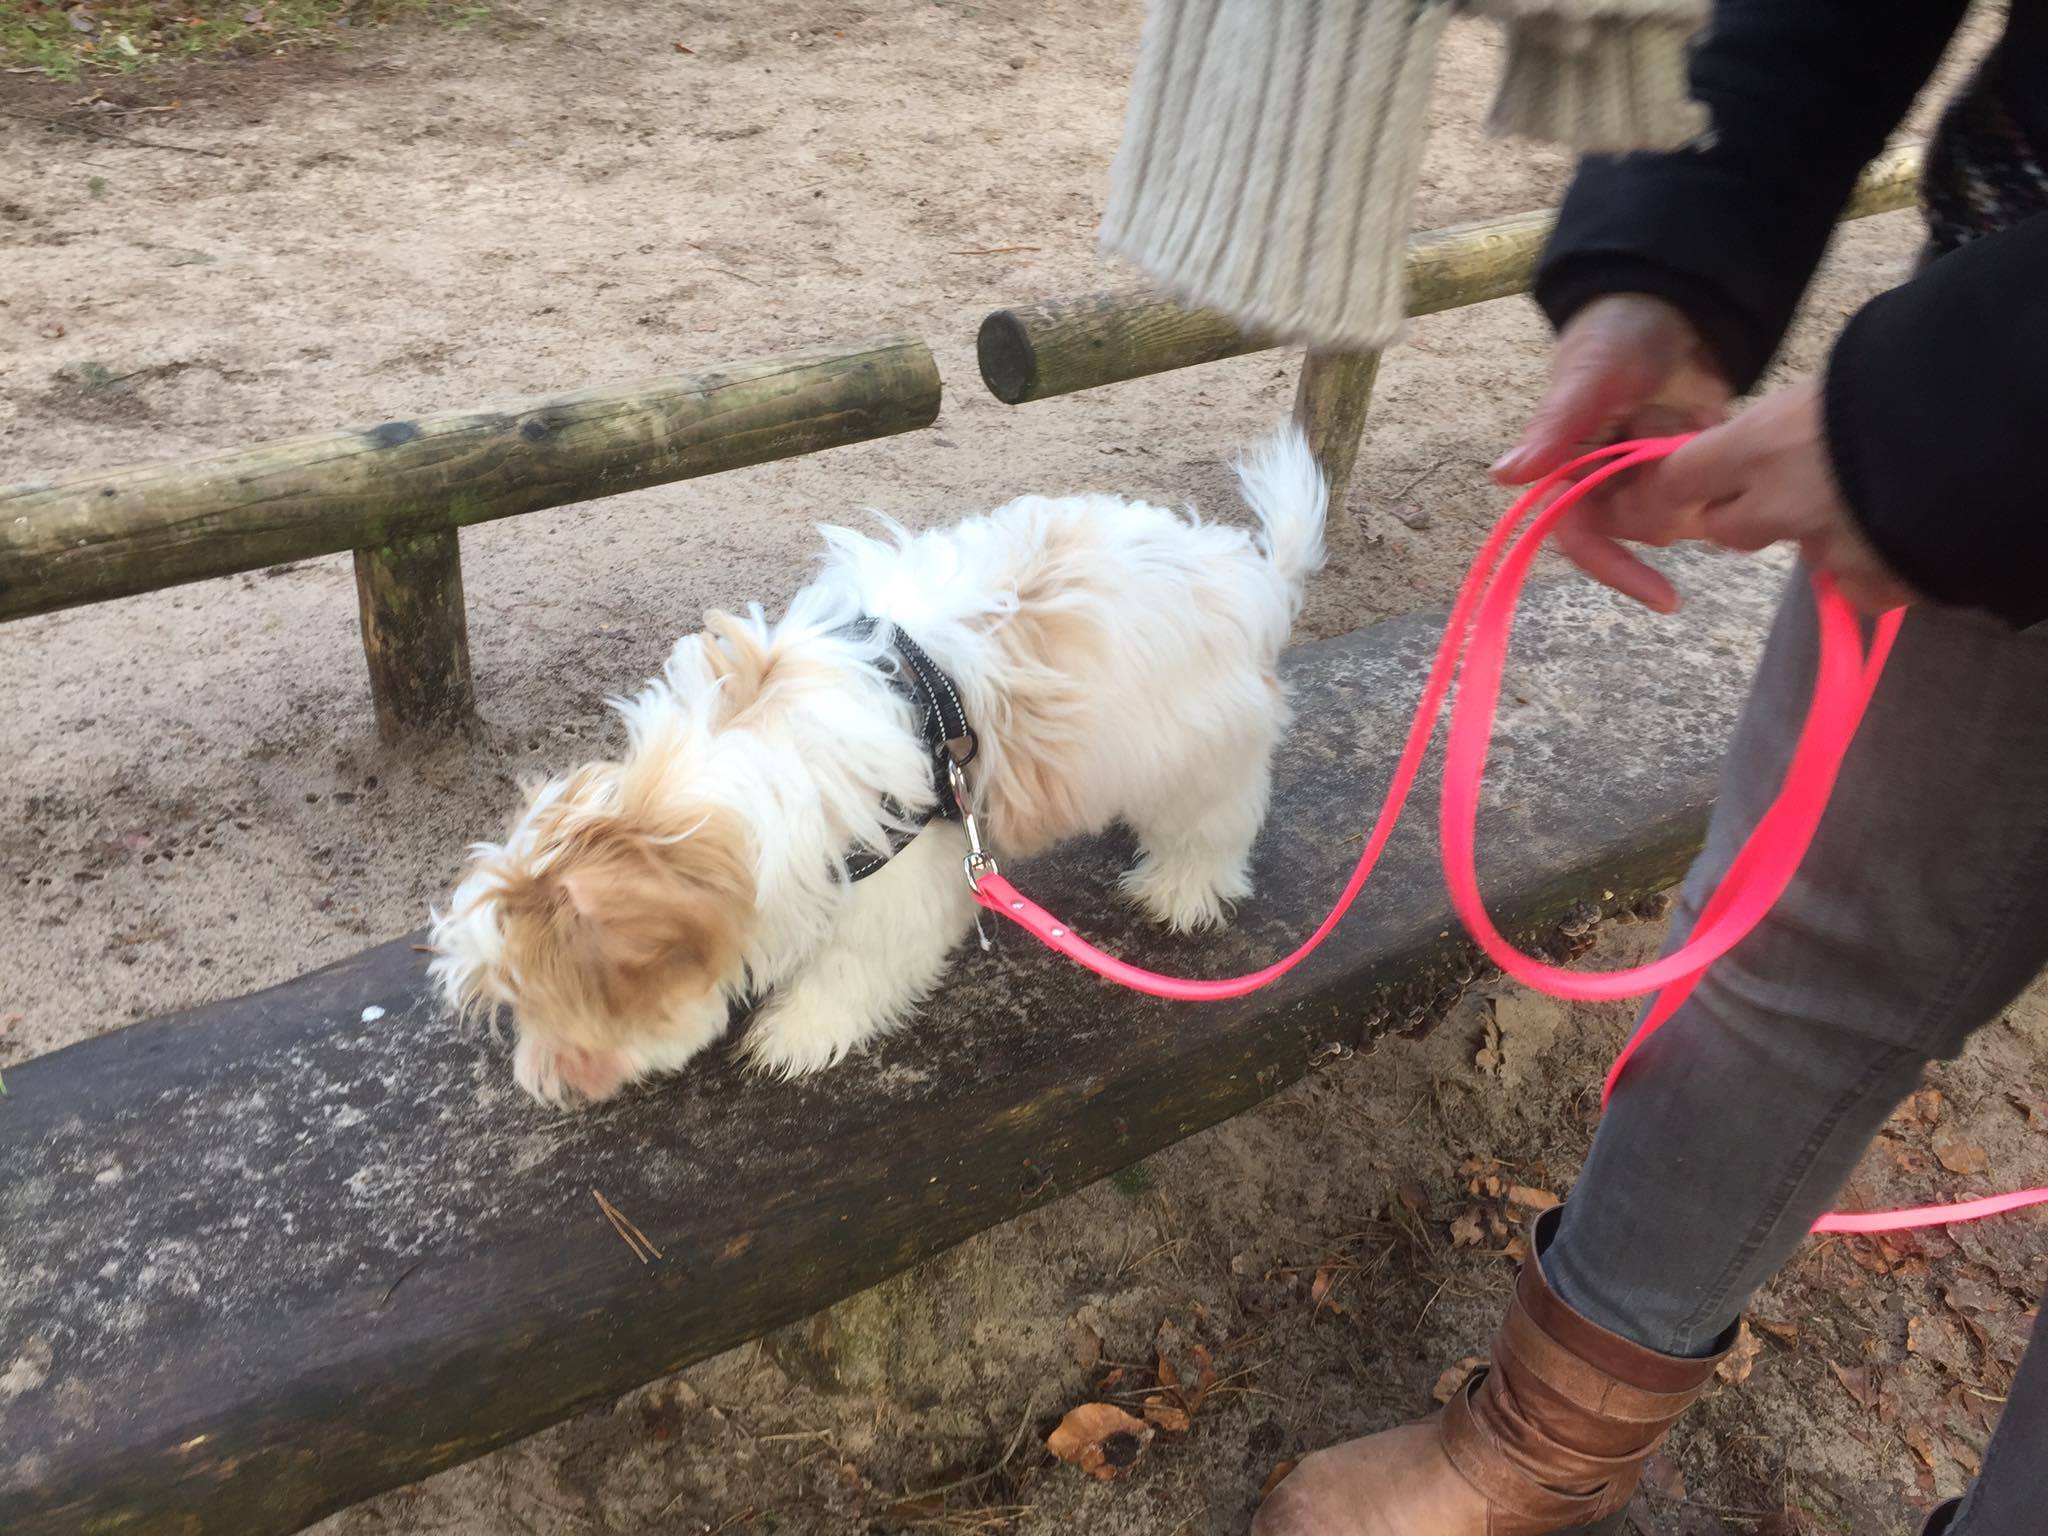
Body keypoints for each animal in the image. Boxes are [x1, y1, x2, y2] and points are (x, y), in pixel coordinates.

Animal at [432, 430, 1327, 1105]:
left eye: (549, 999)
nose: (546, 1087)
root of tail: (1251, 572)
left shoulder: (897, 877)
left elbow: (854, 971)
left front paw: (793, 1033)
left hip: (1201, 760)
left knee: (1213, 829)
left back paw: (1178, 891)